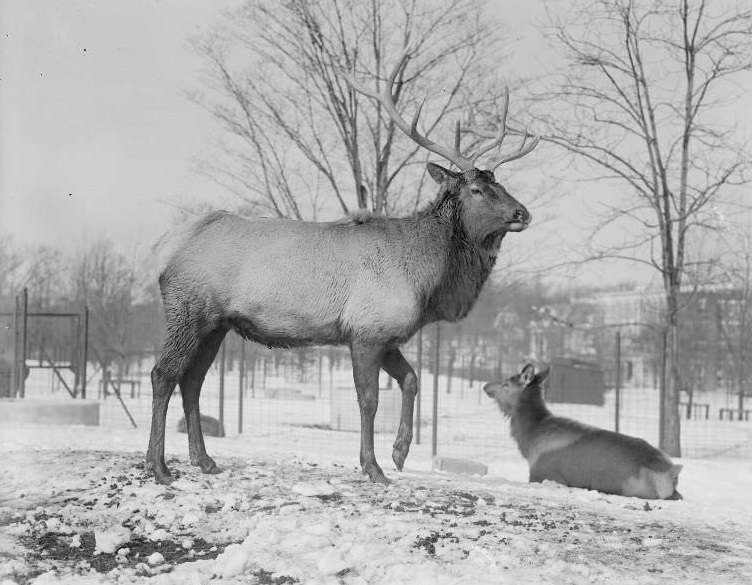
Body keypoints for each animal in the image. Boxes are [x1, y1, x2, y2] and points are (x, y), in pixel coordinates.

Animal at [144, 54, 536, 484]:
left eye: (501, 183)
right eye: (477, 190)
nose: (523, 212)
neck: (428, 285)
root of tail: (164, 248)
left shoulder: (387, 335)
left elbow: (412, 380)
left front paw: (400, 452)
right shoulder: (365, 330)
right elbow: (369, 399)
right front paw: (374, 467)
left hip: (216, 324)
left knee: (192, 380)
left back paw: (205, 460)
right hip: (189, 308)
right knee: (163, 374)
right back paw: (159, 466)